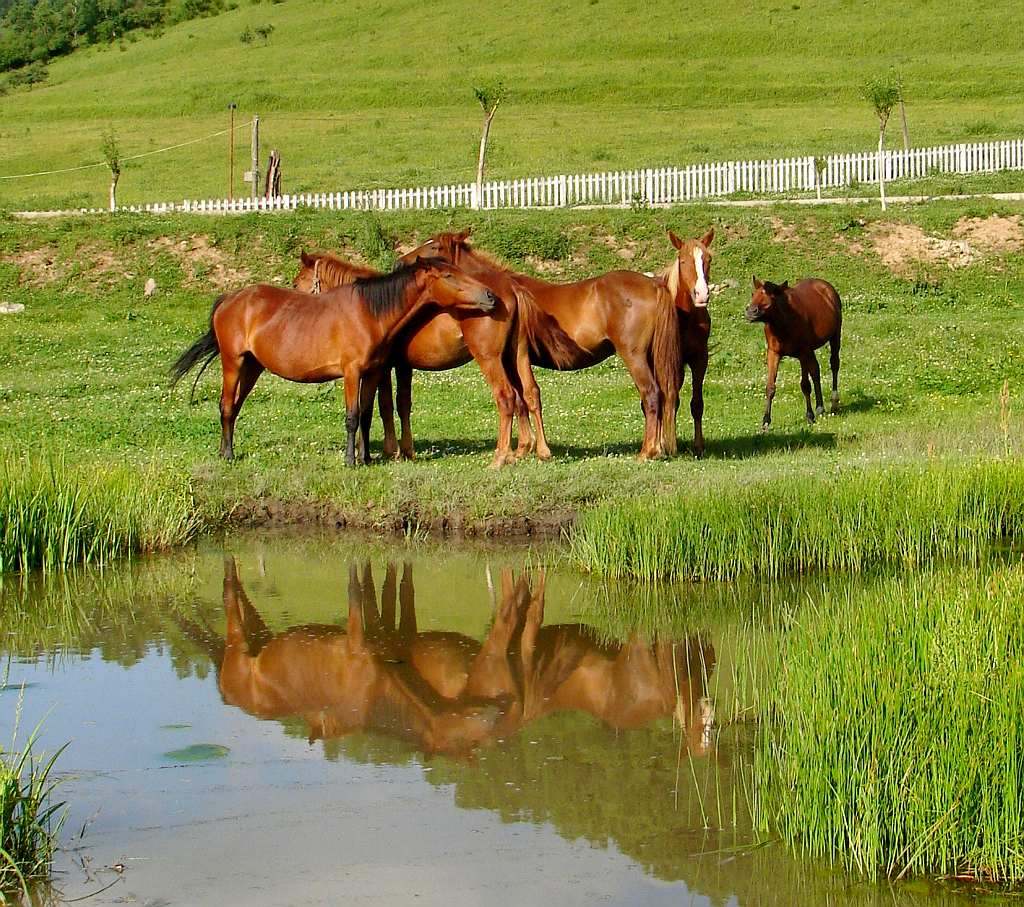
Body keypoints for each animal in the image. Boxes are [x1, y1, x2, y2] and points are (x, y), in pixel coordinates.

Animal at [169, 256, 497, 464]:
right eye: (449, 276)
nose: (490, 296)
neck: (370, 312)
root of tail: (230, 299)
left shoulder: (373, 373)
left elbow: (366, 414)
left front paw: (366, 458)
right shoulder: (351, 373)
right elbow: (352, 417)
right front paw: (351, 460)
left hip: (252, 367)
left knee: (234, 408)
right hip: (233, 363)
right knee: (226, 406)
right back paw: (228, 455)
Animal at [294, 248, 540, 468]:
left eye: (297, 283)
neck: (375, 308)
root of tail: (511, 288)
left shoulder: (383, 369)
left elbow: (383, 405)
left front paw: (391, 450)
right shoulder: (403, 366)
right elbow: (402, 403)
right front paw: (406, 450)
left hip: (490, 359)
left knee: (506, 397)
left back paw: (501, 457)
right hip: (513, 358)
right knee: (527, 394)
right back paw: (530, 450)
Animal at [397, 230, 679, 464]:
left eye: (433, 246)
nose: (400, 262)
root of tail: (654, 284)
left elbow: (518, 399)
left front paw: (521, 449)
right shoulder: (515, 358)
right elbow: (524, 399)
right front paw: (525, 448)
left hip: (634, 356)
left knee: (650, 394)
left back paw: (646, 452)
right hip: (651, 357)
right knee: (663, 395)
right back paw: (658, 448)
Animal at [745, 276, 839, 434]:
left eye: (771, 296)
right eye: (753, 294)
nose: (751, 312)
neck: (783, 323)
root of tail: (825, 286)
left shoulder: (803, 352)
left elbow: (805, 385)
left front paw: (809, 416)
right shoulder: (774, 353)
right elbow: (770, 387)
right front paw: (765, 422)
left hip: (834, 337)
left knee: (834, 365)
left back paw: (833, 403)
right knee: (816, 371)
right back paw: (820, 407)